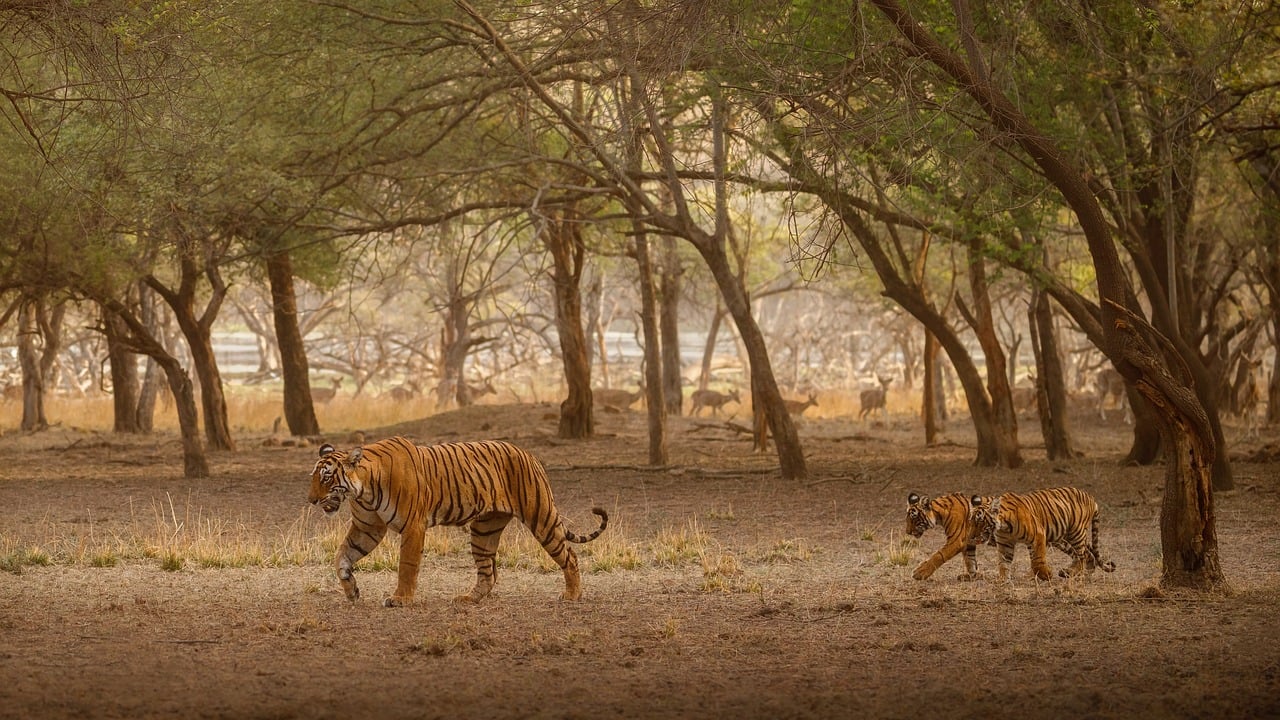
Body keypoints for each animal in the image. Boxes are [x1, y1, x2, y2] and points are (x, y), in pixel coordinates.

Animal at [308, 435, 609, 602]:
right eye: (314, 477)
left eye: (327, 477)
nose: (311, 500)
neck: (363, 490)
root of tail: (529, 454)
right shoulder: (367, 528)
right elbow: (342, 556)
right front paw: (351, 591)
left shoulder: (413, 526)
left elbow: (406, 565)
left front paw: (400, 599)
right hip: (484, 530)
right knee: (487, 573)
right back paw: (468, 599)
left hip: (541, 517)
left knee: (570, 557)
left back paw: (572, 595)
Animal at [972, 484, 1116, 579]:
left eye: (980, 521)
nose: (972, 537)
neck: (1004, 527)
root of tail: (1091, 497)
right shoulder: (1005, 543)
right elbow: (1003, 563)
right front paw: (1003, 582)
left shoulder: (1038, 535)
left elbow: (1037, 560)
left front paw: (1046, 575)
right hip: (1062, 539)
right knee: (1086, 554)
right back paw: (1081, 573)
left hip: (1075, 533)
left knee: (1081, 556)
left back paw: (1073, 573)